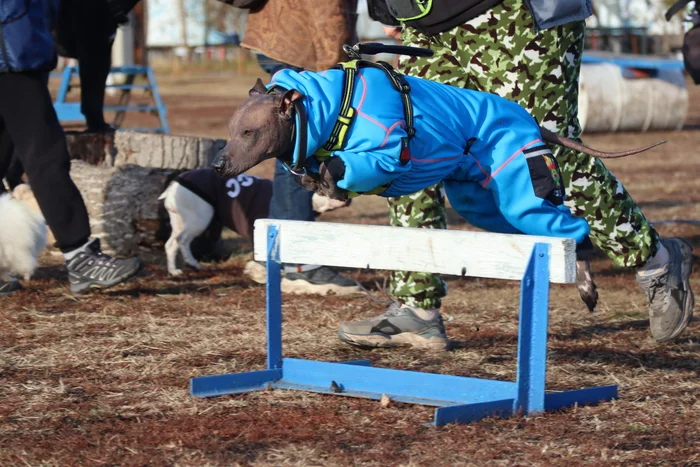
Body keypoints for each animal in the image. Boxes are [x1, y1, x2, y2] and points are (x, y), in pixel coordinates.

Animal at [163, 168, 350, 276]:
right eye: (326, 184)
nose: (347, 196)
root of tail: (173, 185)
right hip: (200, 218)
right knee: (182, 240)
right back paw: (187, 264)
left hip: (180, 220)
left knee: (171, 243)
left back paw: (177, 269)